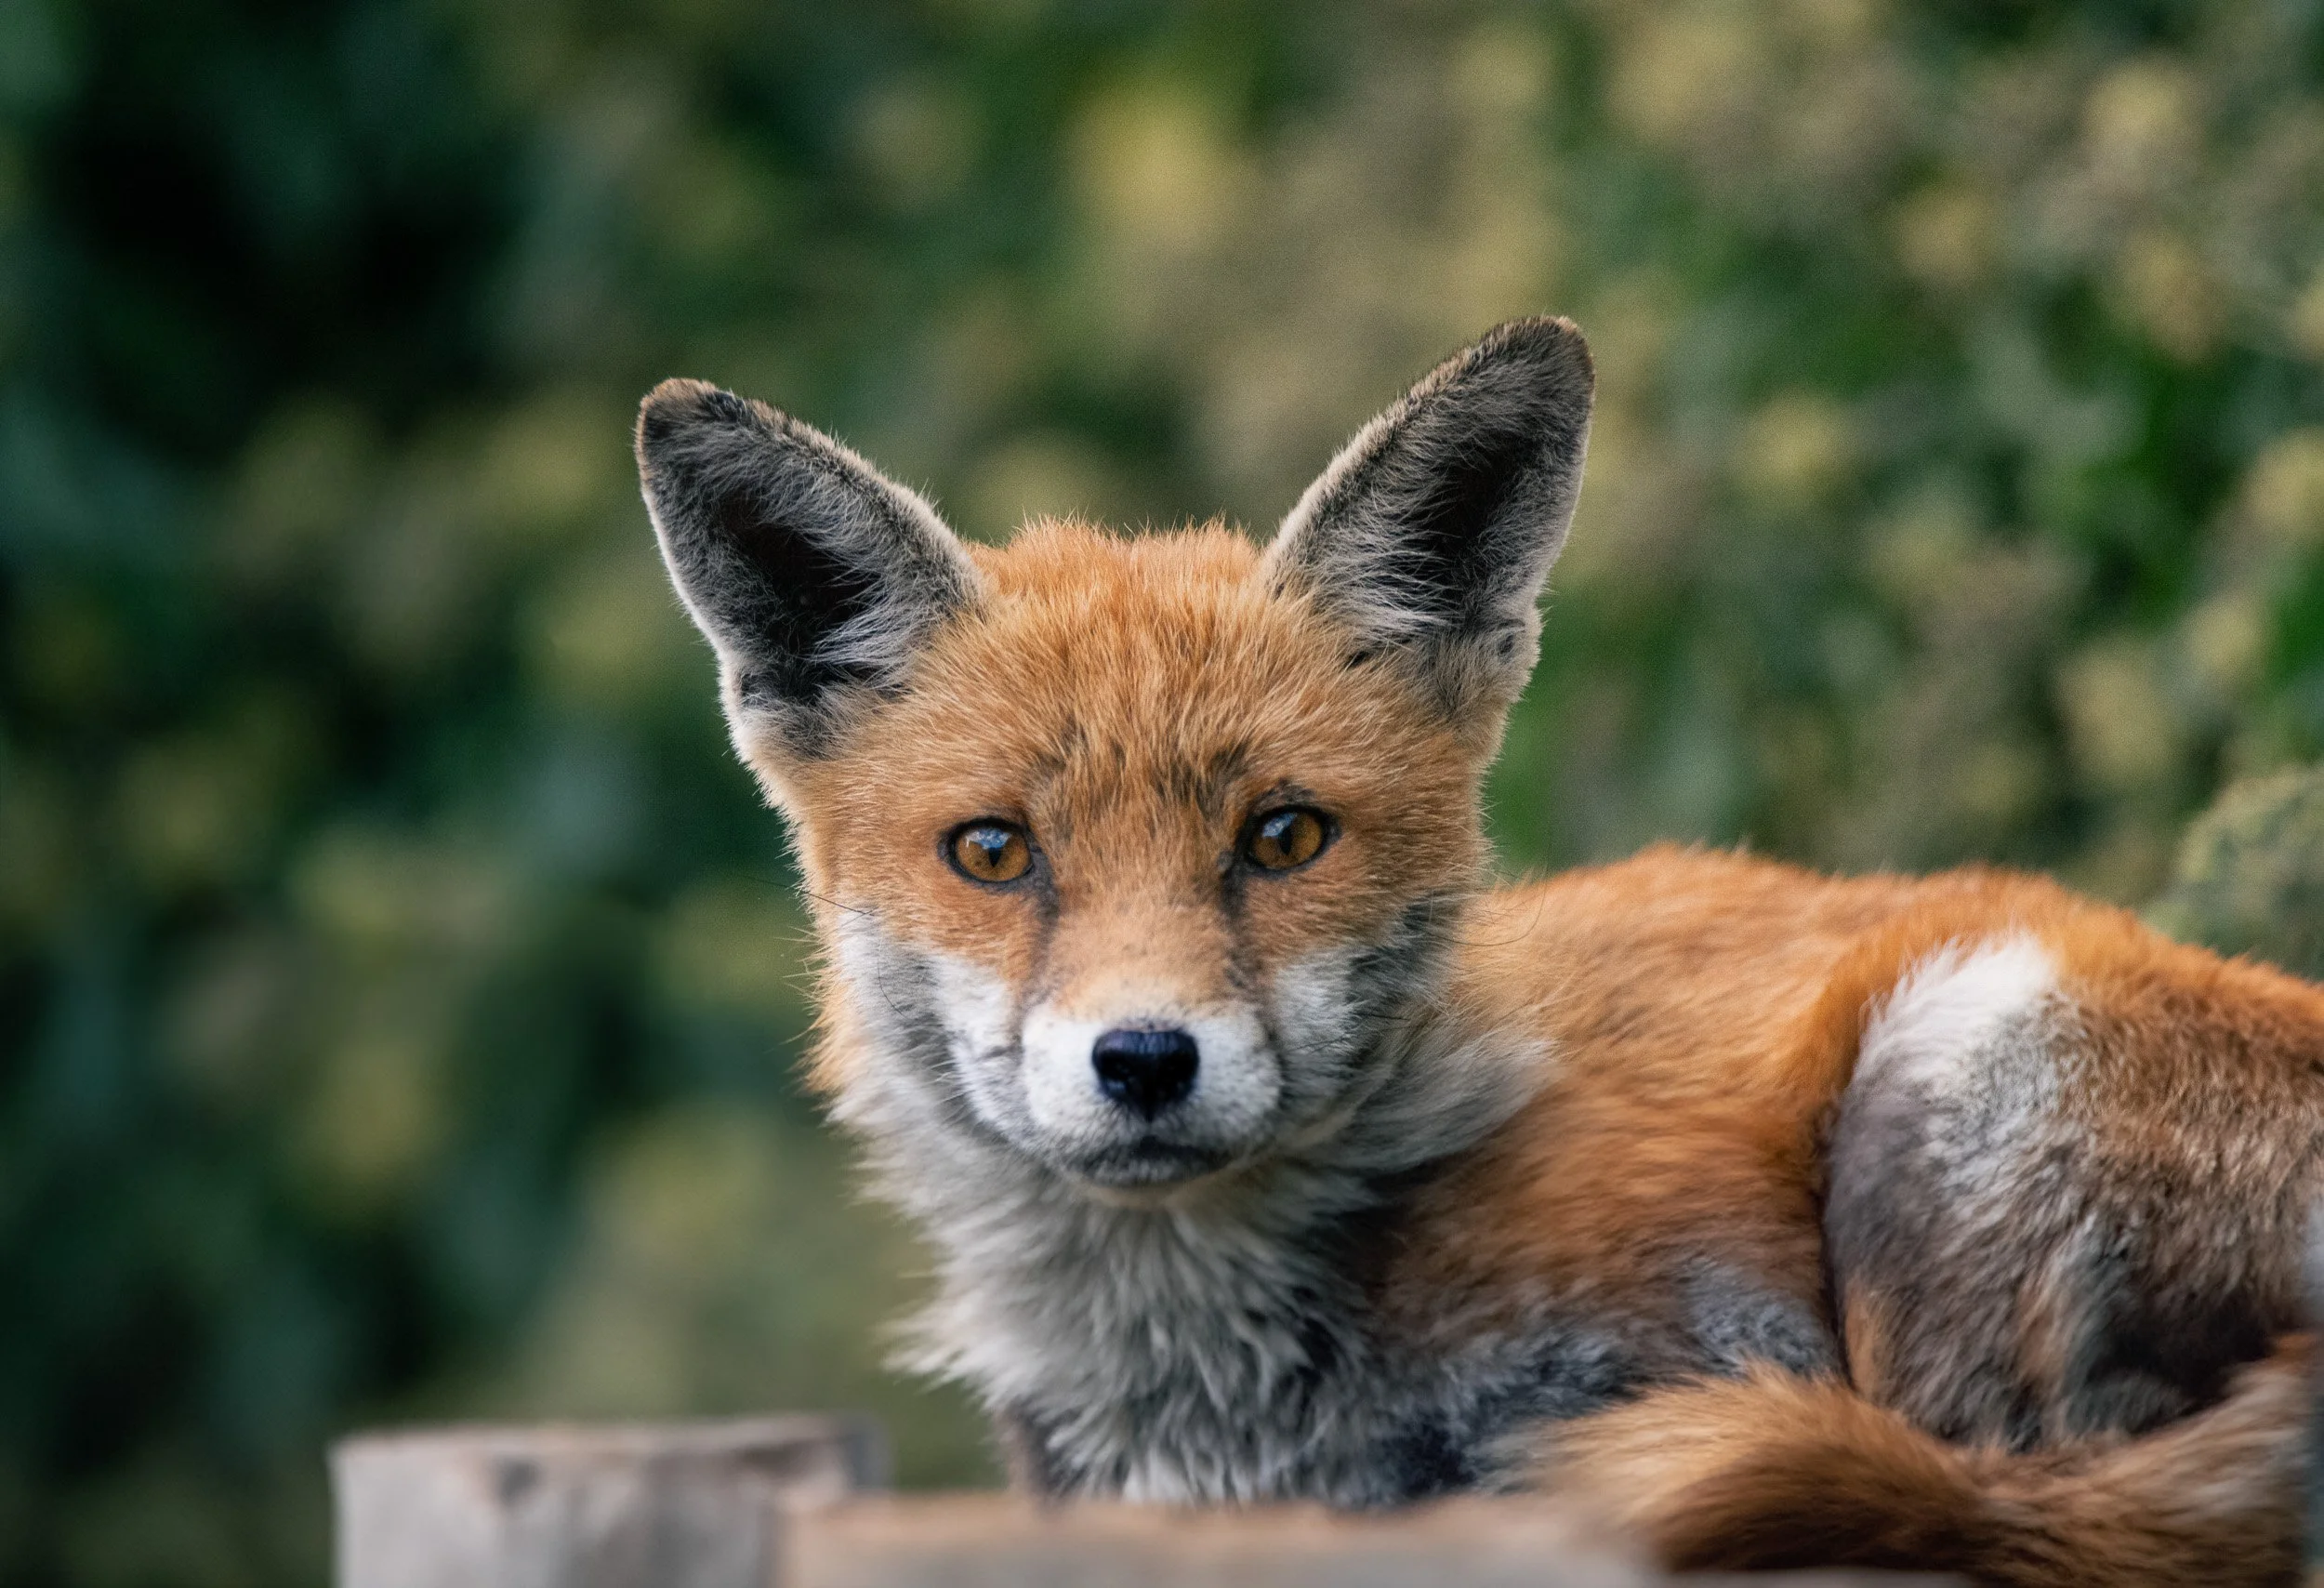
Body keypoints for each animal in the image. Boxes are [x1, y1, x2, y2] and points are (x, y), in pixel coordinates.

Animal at [633, 318, 2324, 1585]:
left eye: (1285, 837)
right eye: (994, 852)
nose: (1144, 1061)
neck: (1239, 1409)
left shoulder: (1719, 1346)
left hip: (1952, 1070)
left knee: (2010, 1490)